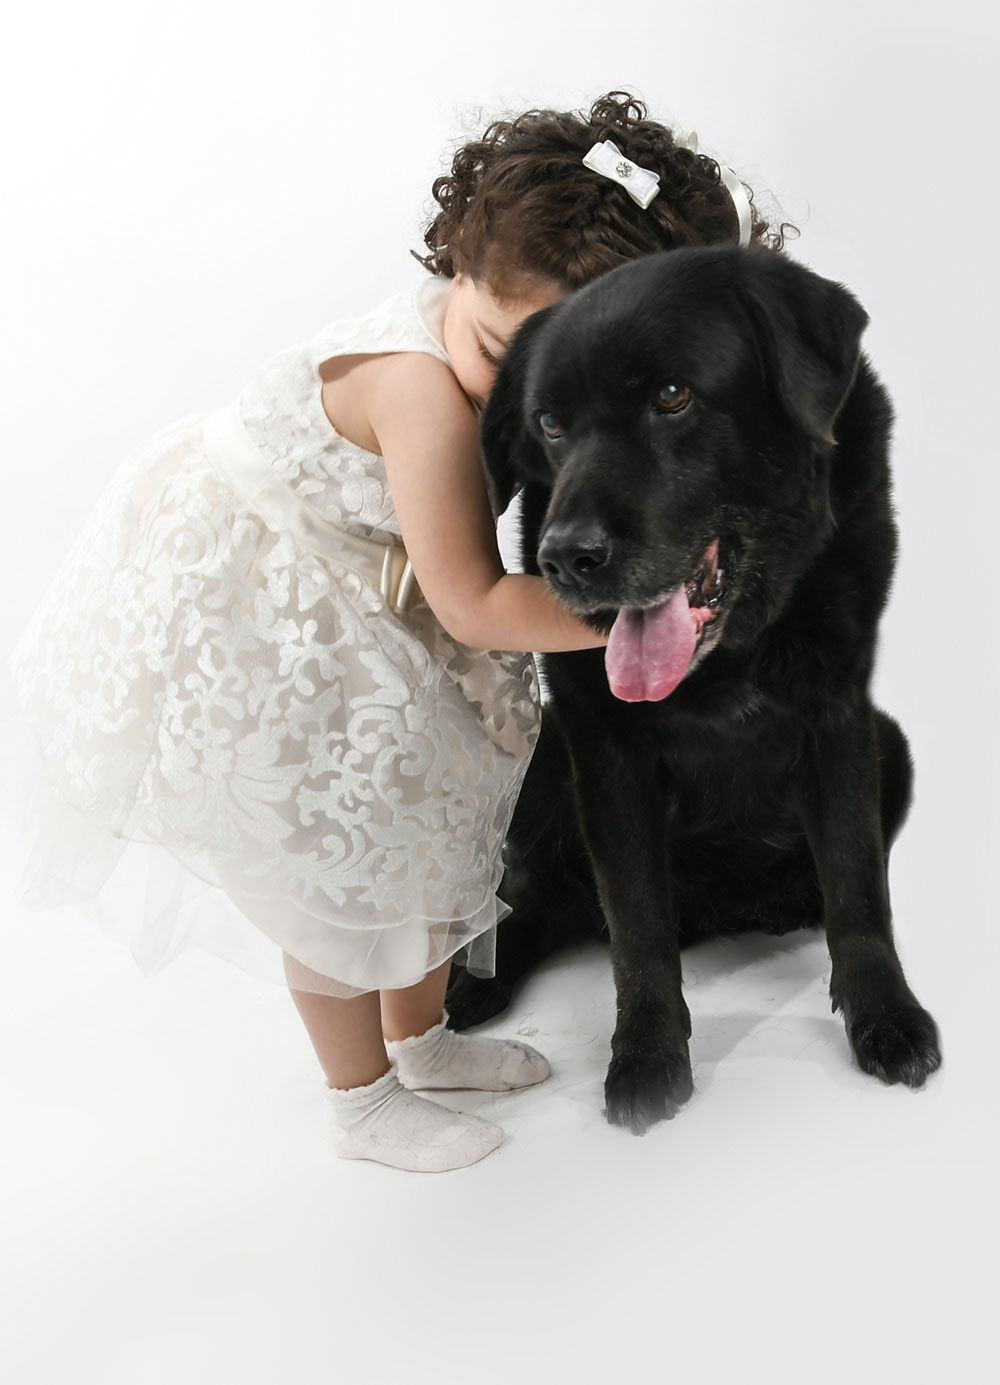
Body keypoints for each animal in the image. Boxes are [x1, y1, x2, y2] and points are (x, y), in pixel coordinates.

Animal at [448, 249, 936, 1135]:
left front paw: (885, 1015)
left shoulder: (842, 716)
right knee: (541, 899)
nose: (566, 557)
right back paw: (476, 981)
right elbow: (638, 922)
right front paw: (647, 1056)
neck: (733, 649)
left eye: (672, 396)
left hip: (896, 746)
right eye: (550, 424)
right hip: (543, 763)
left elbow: (858, 885)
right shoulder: (603, 748)